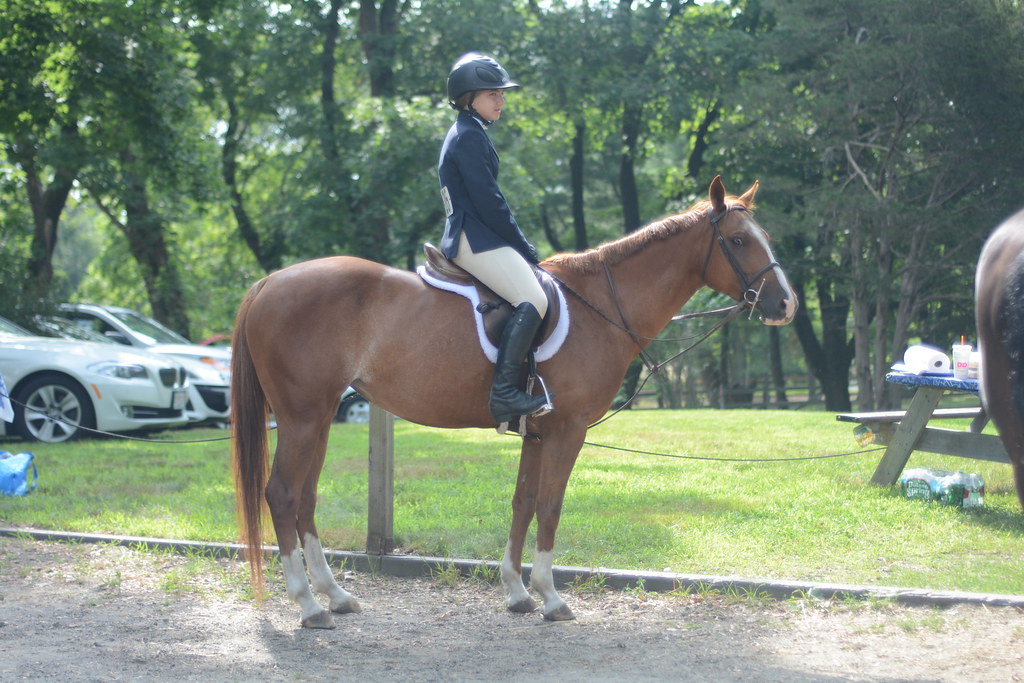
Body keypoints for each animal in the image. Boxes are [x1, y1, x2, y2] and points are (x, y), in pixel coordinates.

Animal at [231, 175, 798, 628]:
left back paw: (336, 595)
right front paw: (551, 598)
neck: (600, 308)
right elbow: (550, 505)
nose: (787, 304)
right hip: (303, 417)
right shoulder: (568, 429)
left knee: (305, 498)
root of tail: (268, 281)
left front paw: (517, 592)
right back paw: (309, 606)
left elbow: (523, 502)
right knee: (282, 493)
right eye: (739, 240)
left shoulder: (540, 432)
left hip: (319, 418)